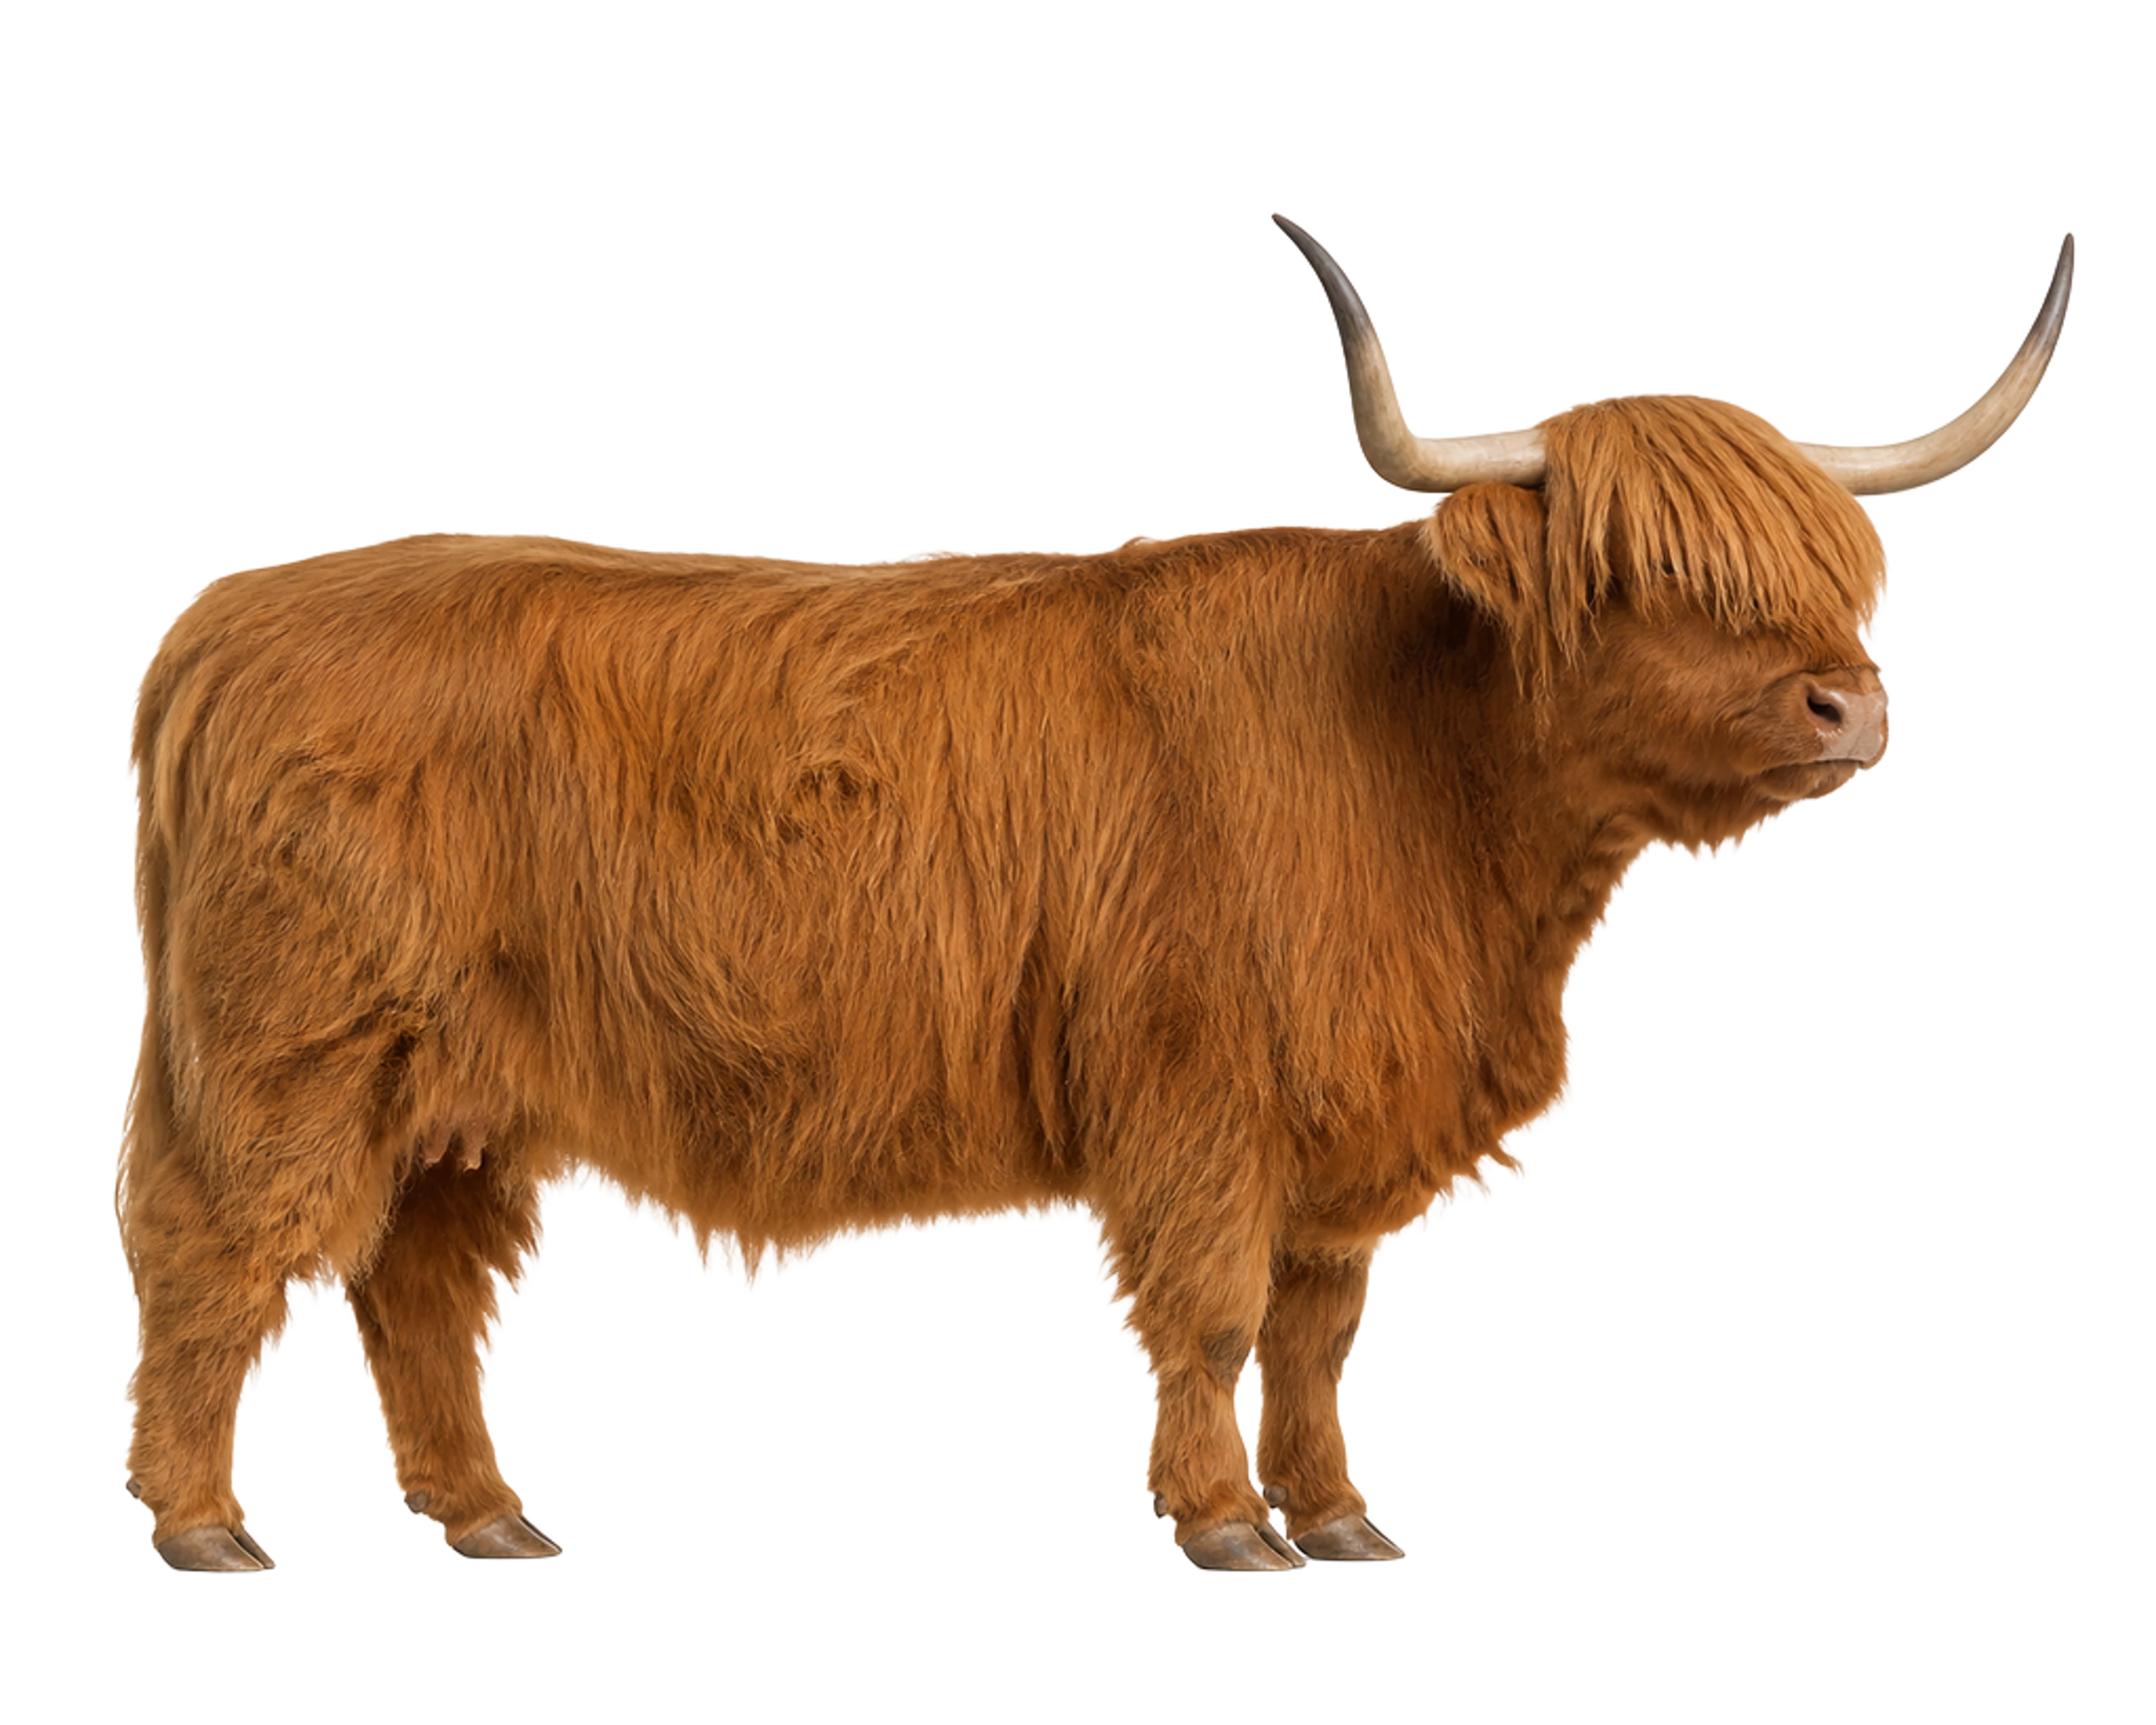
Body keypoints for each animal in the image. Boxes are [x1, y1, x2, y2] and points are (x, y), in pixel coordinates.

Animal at [117, 214, 2073, 1576]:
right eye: (1643, 574)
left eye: (1836, 568)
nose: (1849, 707)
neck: (1441, 783)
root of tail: (229, 614)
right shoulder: (1197, 1092)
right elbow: (1209, 1314)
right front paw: (1225, 1525)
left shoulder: (1336, 1113)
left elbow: (1320, 1326)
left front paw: (1338, 1516)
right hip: (289, 1054)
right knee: (216, 1256)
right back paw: (209, 1527)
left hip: (451, 1091)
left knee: (417, 1288)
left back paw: (491, 1518)